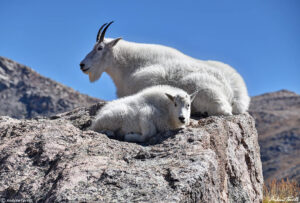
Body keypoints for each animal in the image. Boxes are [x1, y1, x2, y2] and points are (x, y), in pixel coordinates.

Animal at [79, 22, 248, 116]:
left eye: (100, 48)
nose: (82, 65)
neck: (128, 64)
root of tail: (232, 93)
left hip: (208, 93)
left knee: (224, 111)